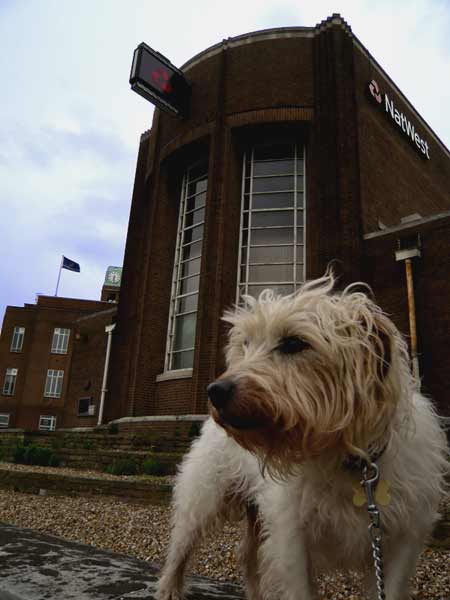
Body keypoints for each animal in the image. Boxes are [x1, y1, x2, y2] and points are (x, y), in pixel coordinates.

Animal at [156, 274, 446, 596]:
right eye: (246, 343)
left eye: (294, 343)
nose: (215, 391)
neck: (349, 461)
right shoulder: (291, 541)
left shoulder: (399, 542)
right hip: (203, 499)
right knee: (181, 548)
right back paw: (168, 589)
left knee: (248, 557)